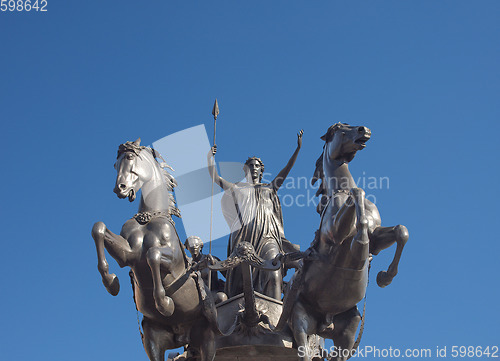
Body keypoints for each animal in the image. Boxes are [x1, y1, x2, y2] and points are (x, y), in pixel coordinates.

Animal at [91, 138, 219, 360]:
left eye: (129, 157)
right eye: (115, 165)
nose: (120, 188)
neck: (149, 217)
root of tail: (183, 336)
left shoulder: (174, 262)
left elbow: (153, 255)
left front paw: (164, 304)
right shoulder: (129, 255)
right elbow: (98, 228)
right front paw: (111, 282)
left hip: (208, 338)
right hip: (154, 339)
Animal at [280, 124, 408, 360]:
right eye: (340, 129)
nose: (364, 129)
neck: (341, 189)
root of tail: (325, 323)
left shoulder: (377, 238)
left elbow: (400, 231)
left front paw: (384, 277)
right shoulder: (335, 234)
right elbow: (358, 195)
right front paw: (360, 243)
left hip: (347, 332)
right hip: (300, 322)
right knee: (303, 351)